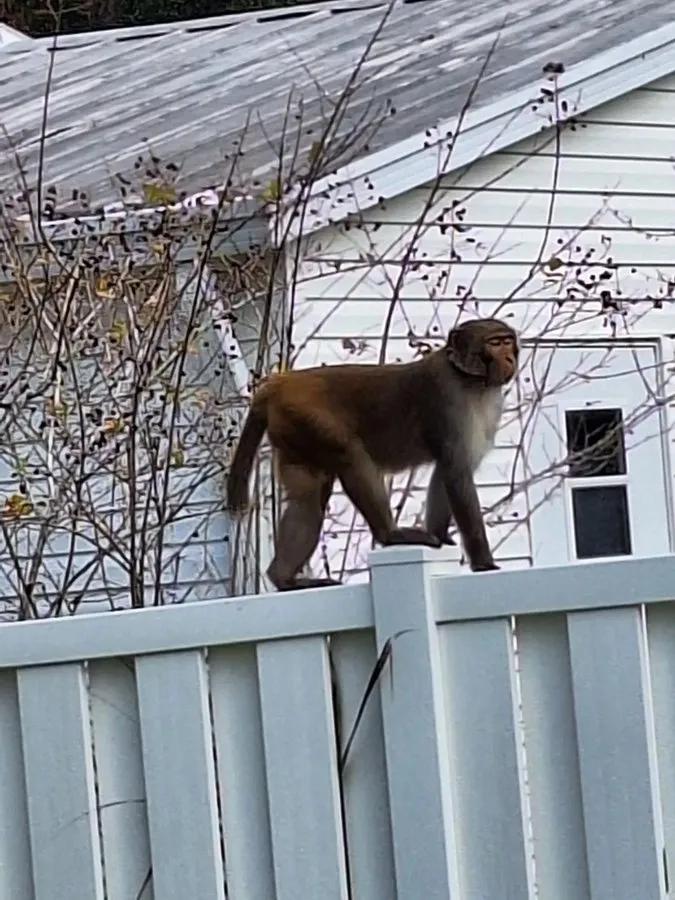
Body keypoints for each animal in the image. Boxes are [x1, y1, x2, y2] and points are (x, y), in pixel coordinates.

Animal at [227, 316, 516, 592]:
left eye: (507, 341)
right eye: (494, 343)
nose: (509, 357)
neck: (470, 380)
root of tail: (280, 384)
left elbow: (448, 471)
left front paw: (440, 534)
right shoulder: (447, 395)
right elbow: (456, 472)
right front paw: (485, 564)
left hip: (293, 430)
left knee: (307, 500)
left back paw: (284, 578)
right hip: (305, 414)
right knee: (350, 455)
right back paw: (390, 534)